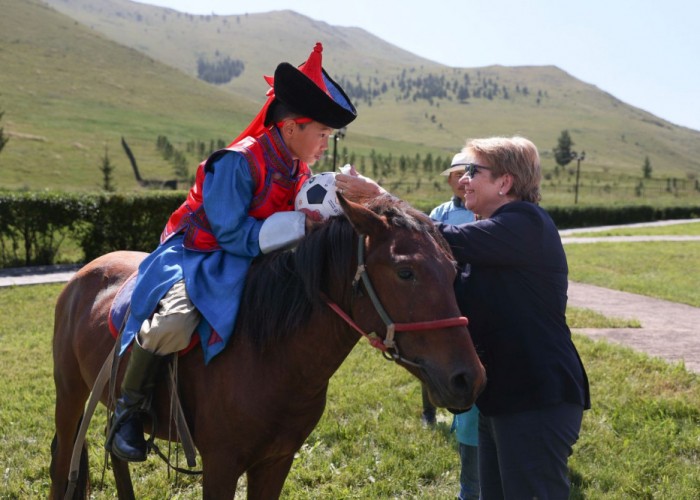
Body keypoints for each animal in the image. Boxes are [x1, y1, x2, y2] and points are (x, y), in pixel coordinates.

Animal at [50, 194, 486, 496]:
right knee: (61, 464)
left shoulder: (277, 461)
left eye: (453, 270)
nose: (469, 378)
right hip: (70, 396)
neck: (272, 357)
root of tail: (85, 274)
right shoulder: (221, 464)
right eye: (405, 271)